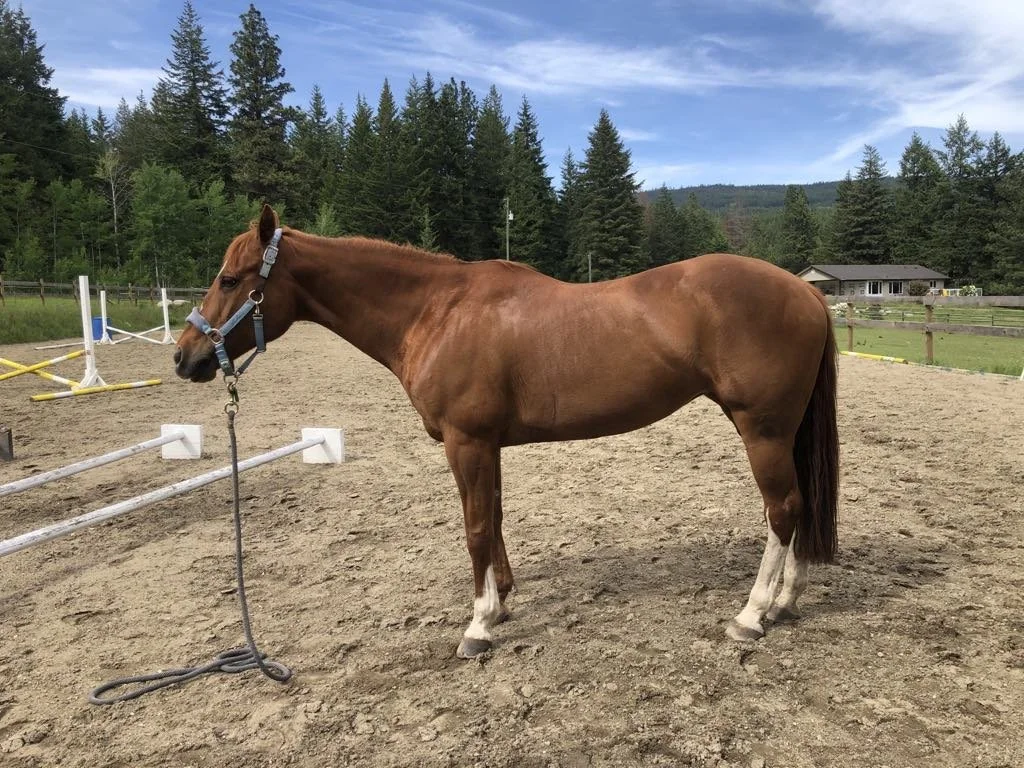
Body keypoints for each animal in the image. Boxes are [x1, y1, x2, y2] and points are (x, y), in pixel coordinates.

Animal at [174, 204, 839, 660]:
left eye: (230, 279)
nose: (185, 357)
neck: (437, 311)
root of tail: (805, 291)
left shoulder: (466, 441)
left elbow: (473, 528)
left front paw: (477, 626)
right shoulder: (486, 444)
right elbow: (492, 517)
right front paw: (503, 602)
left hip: (762, 429)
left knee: (783, 509)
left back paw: (752, 614)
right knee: (801, 506)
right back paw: (787, 602)